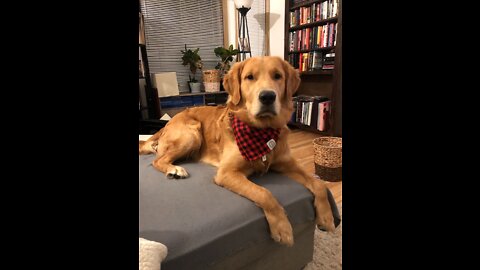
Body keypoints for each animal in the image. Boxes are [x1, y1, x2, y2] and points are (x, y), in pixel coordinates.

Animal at [139, 56, 334, 246]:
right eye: (250, 77)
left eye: (277, 76)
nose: (268, 96)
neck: (262, 131)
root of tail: (168, 123)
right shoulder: (227, 173)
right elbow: (264, 193)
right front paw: (282, 227)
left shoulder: (288, 164)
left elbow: (319, 184)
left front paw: (326, 218)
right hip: (192, 134)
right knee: (158, 160)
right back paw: (174, 169)